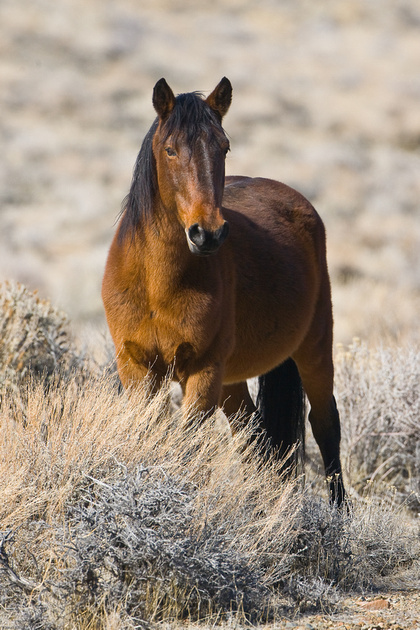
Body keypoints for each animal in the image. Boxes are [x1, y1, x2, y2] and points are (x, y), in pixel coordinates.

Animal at [103, 76, 346, 506]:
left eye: (224, 147)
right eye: (170, 149)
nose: (208, 233)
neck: (156, 284)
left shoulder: (203, 370)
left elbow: (185, 444)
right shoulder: (136, 366)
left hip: (314, 347)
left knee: (325, 425)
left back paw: (339, 516)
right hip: (234, 380)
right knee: (255, 438)